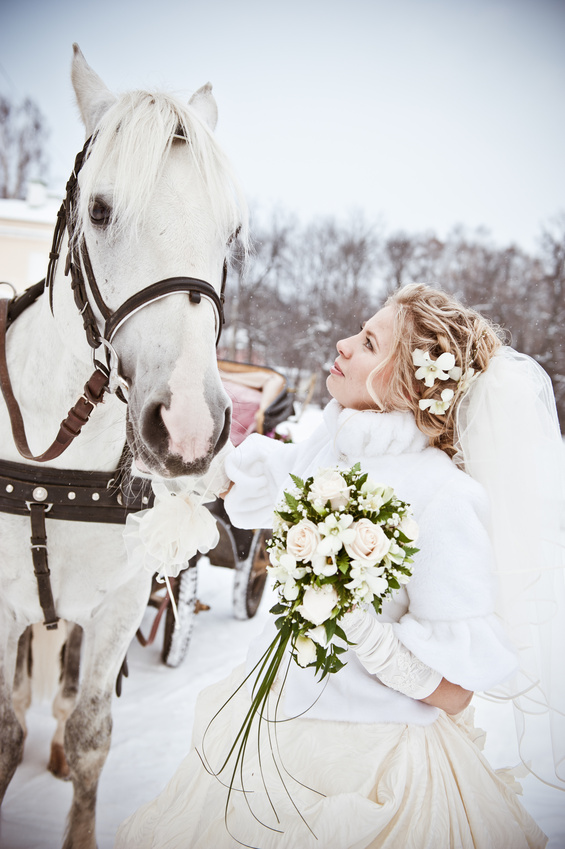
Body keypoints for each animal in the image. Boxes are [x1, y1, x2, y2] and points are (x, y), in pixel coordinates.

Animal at [0, 46, 247, 848]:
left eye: (231, 231)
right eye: (101, 210)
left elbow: (90, 734)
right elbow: (4, 730)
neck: (53, 468)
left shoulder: (119, 604)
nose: (191, 424)